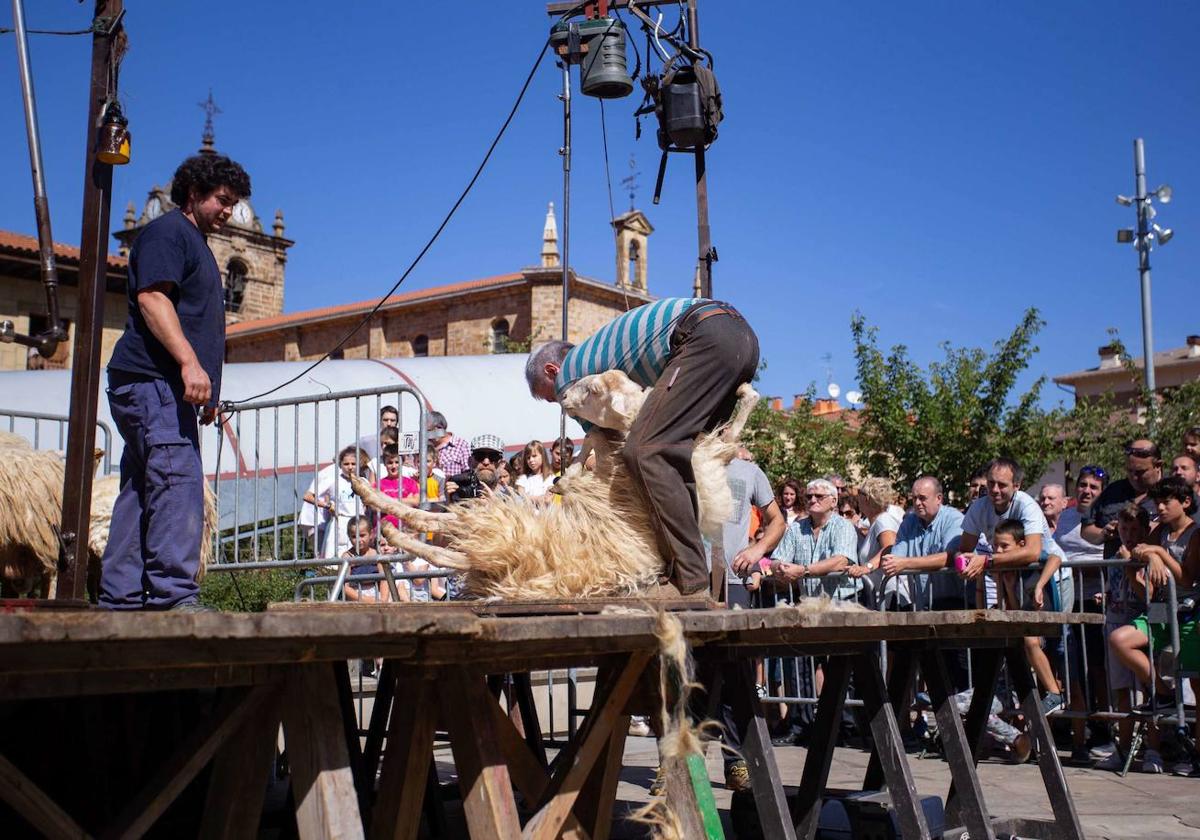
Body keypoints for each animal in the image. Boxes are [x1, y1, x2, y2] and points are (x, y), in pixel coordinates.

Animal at [350, 376, 758, 600]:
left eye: (594, 389)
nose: (563, 396)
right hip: (508, 531)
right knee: (446, 538)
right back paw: (378, 511)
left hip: (508, 529)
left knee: (444, 538)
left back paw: (382, 516)